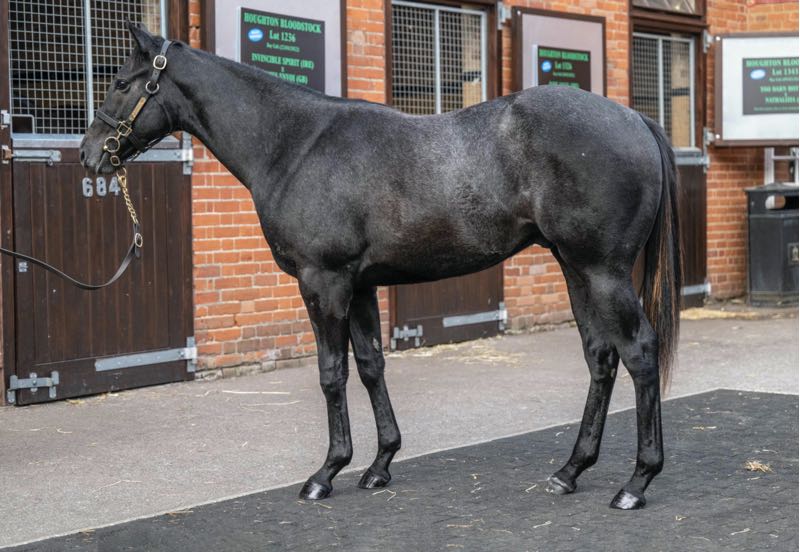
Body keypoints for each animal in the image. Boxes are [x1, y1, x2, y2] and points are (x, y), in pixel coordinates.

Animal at [80, 23, 681, 510]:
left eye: (122, 82)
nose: (89, 155)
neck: (294, 145)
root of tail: (633, 118)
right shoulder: (361, 285)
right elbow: (371, 366)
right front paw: (379, 465)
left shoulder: (323, 282)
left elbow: (332, 373)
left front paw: (326, 473)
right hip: (575, 268)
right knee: (601, 357)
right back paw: (570, 471)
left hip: (603, 272)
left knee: (639, 352)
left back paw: (636, 483)